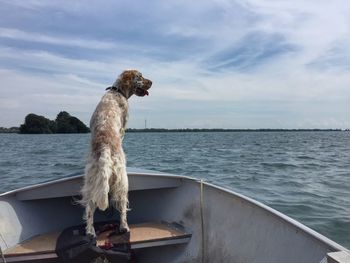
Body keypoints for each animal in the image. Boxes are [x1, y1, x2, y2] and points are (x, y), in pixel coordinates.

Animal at [80, 69, 152, 237]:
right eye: (140, 77)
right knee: (122, 209)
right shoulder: (123, 125)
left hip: (92, 182)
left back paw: (90, 231)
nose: (152, 82)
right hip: (122, 182)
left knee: (89, 208)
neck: (116, 91)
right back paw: (124, 227)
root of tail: (105, 148)